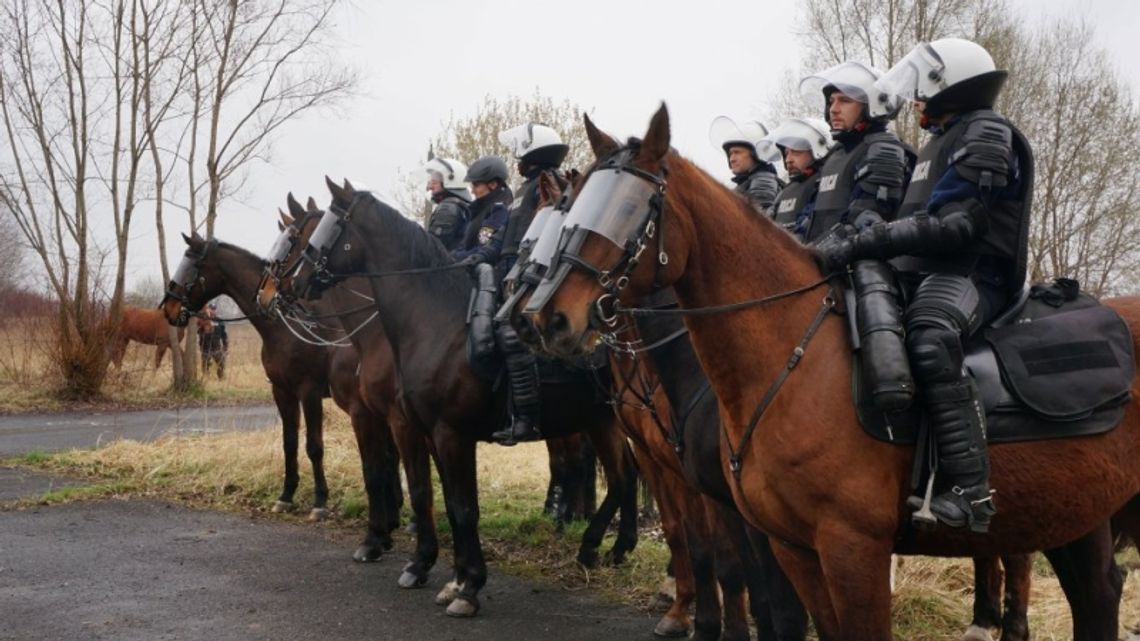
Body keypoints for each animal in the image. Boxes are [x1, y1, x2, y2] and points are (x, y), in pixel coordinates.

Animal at [160, 231, 401, 556]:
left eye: (192, 265)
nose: (169, 309)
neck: (287, 326)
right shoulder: (282, 392)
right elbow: (289, 444)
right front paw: (286, 496)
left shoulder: (308, 392)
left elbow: (314, 447)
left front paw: (320, 502)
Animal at [269, 177, 642, 615]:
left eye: (320, 230)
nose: (288, 286)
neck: (435, 324)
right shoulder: (426, 431)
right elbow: (438, 497)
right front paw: (446, 574)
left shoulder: (442, 433)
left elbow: (458, 506)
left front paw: (464, 584)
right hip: (603, 421)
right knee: (624, 476)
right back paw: (606, 547)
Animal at [526, 104, 1140, 638]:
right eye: (576, 210)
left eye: (629, 210)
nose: (547, 317)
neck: (792, 357)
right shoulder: (787, 542)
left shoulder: (851, 548)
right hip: (1075, 517)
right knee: (1097, 593)